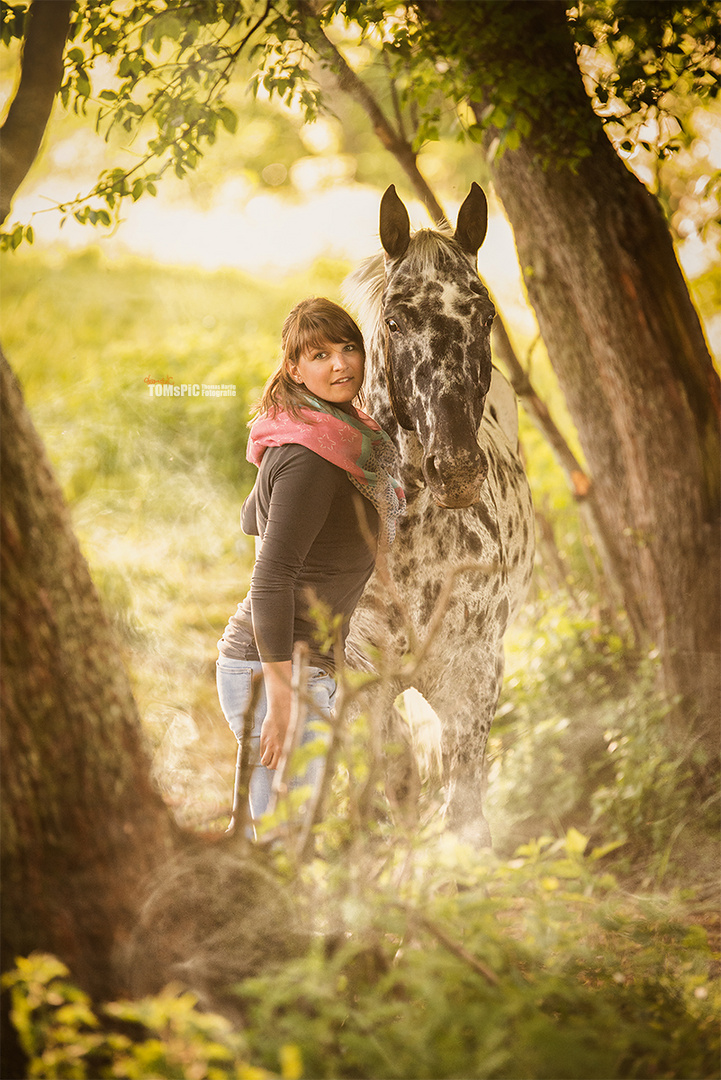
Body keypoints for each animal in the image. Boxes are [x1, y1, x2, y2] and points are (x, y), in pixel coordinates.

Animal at [343, 183, 535, 842]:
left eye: (486, 315)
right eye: (394, 319)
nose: (455, 470)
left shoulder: (472, 678)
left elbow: (466, 811)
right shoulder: (364, 679)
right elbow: (395, 784)